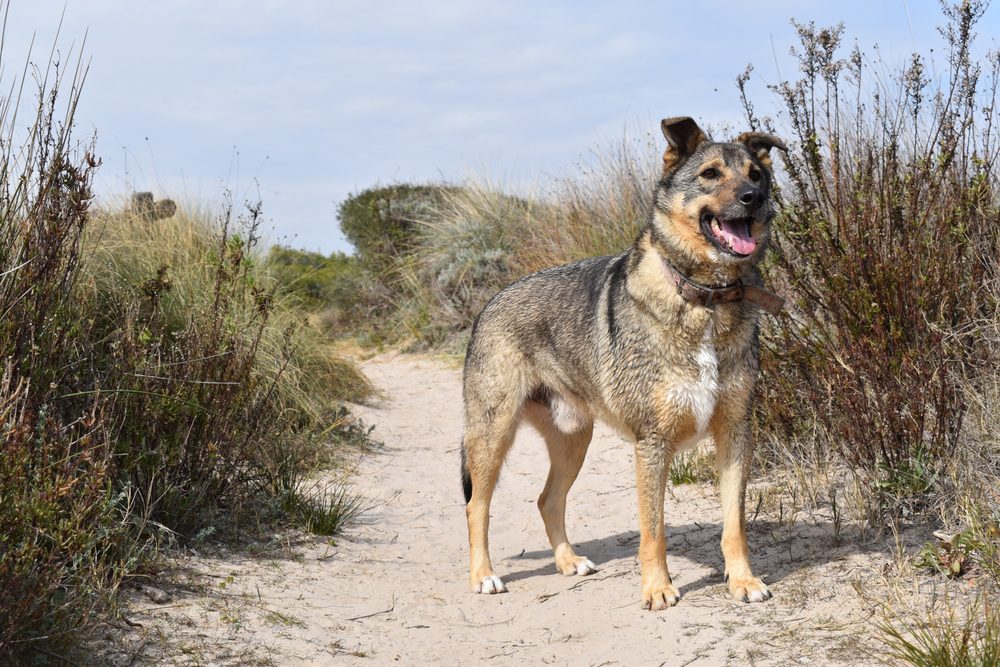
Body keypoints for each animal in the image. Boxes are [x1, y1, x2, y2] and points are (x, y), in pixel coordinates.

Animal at [460, 116, 788, 612]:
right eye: (711, 174)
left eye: (756, 174)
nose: (755, 198)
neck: (705, 299)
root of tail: (488, 304)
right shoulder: (652, 443)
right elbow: (653, 530)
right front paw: (657, 589)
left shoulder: (735, 432)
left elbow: (735, 525)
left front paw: (743, 581)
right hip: (492, 435)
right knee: (476, 505)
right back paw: (484, 575)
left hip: (574, 439)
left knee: (547, 500)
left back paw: (568, 562)